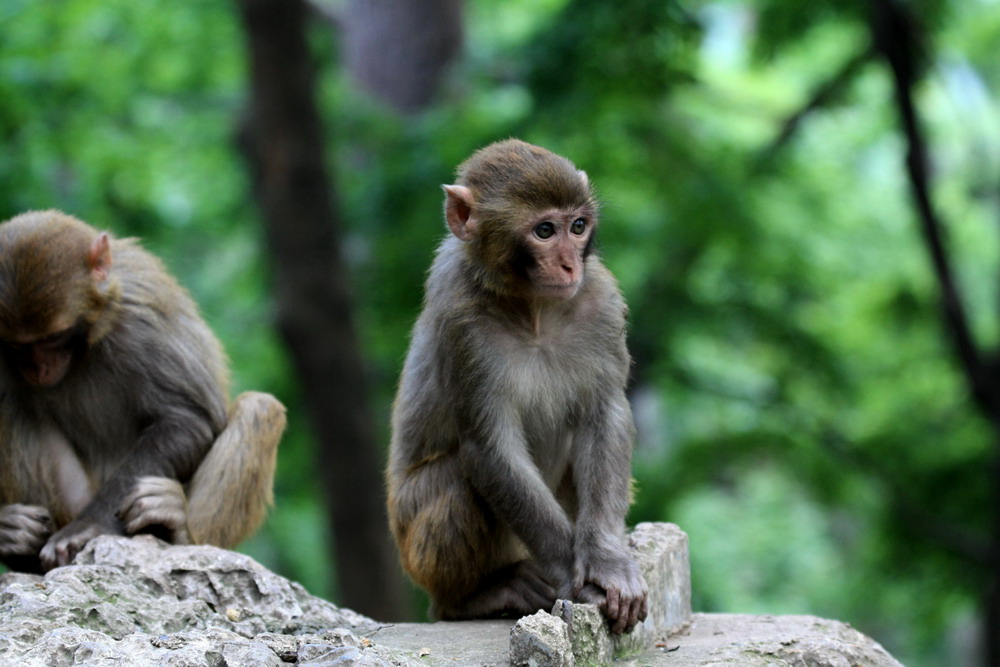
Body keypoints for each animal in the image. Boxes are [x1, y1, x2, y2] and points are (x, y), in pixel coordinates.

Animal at [0, 210, 288, 576]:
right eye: (16, 346)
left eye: (55, 337)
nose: (39, 370)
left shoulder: (141, 320)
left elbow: (186, 421)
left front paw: (88, 527)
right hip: (71, 498)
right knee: (11, 403)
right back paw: (20, 547)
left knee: (260, 407)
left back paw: (179, 532)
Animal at [382, 138, 648, 636]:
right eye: (544, 230)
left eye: (578, 226)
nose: (568, 264)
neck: (534, 309)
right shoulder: (460, 324)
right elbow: (490, 448)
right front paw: (576, 580)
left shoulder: (602, 301)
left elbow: (605, 414)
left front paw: (607, 561)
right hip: (414, 547)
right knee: (459, 479)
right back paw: (476, 597)